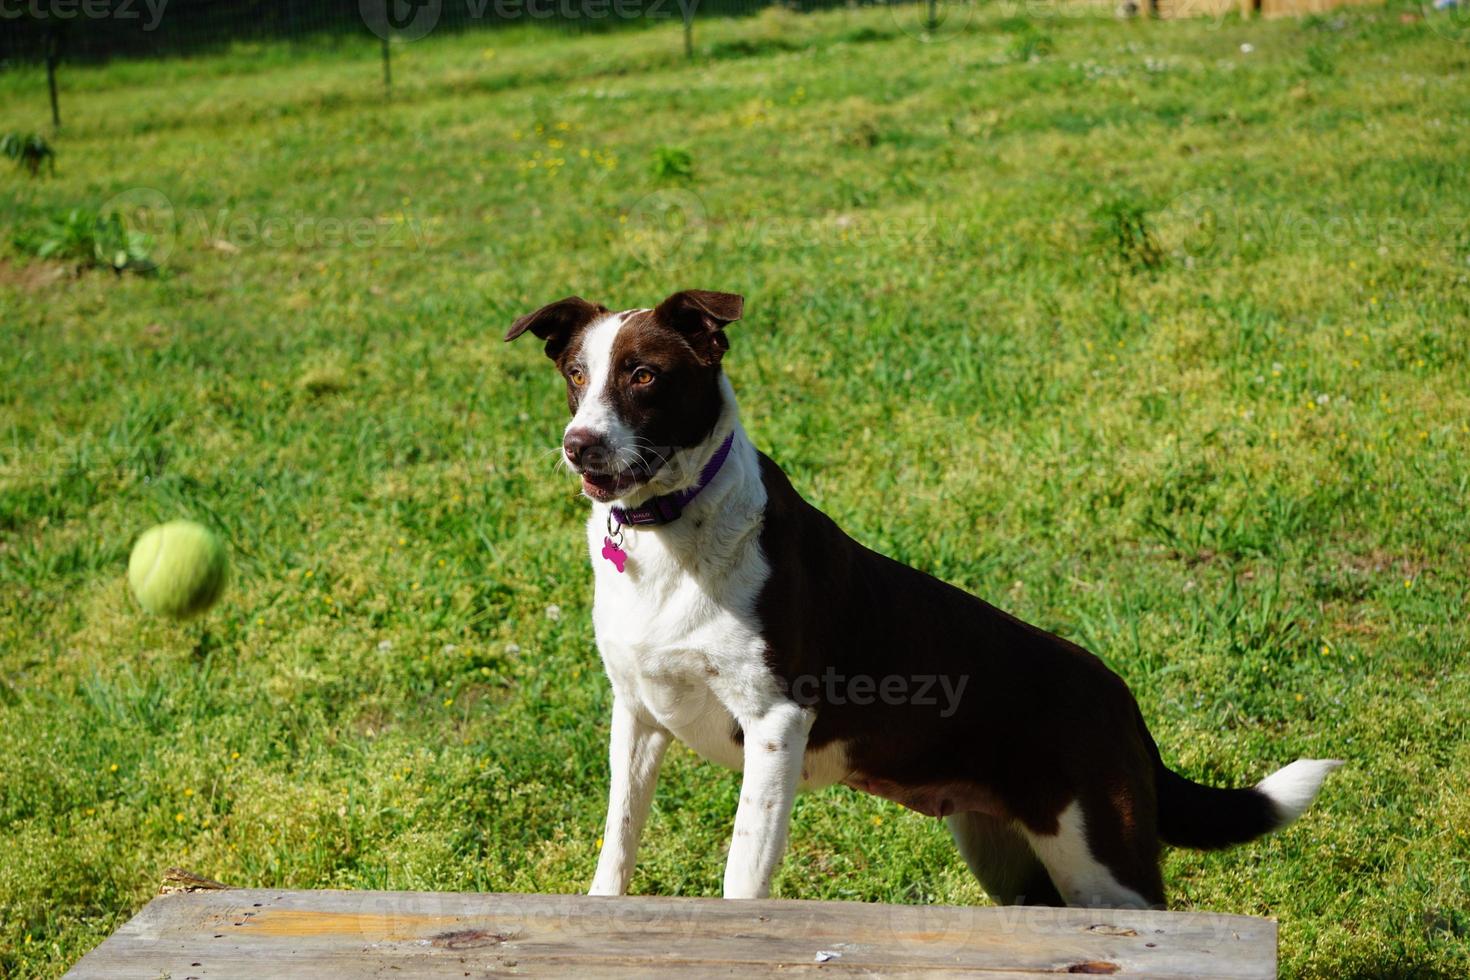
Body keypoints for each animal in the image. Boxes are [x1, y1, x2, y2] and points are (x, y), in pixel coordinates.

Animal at [508, 290, 1346, 910]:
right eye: (576, 374)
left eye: (645, 375)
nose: (578, 446)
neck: (668, 532)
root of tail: (1122, 699)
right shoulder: (637, 713)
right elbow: (618, 841)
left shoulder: (775, 725)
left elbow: (743, 873)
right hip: (1011, 859)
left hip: (1104, 859)